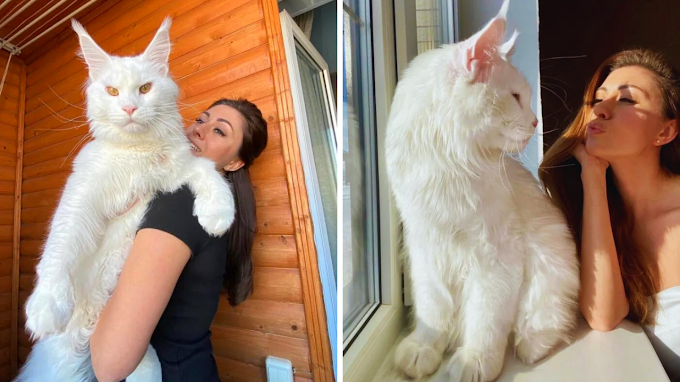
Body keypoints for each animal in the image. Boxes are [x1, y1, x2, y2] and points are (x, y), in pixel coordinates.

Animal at [13, 17, 234, 382]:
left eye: (144, 89)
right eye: (113, 92)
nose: (130, 108)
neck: (135, 155)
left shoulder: (174, 171)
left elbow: (207, 171)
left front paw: (218, 214)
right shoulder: (83, 192)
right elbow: (60, 244)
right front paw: (47, 304)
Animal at [388, 1, 580, 380]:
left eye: (526, 98)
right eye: (516, 97)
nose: (536, 121)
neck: (448, 166)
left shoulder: (496, 254)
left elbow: (486, 320)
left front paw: (473, 362)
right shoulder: (424, 244)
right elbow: (432, 311)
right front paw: (423, 348)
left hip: (550, 269)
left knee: (540, 323)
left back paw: (530, 348)